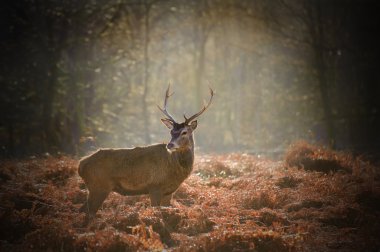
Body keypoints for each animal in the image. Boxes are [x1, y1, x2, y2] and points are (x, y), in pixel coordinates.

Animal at [78, 84, 212, 220]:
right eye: (171, 132)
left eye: (184, 132)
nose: (170, 144)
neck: (175, 169)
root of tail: (81, 164)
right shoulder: (154, 187)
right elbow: (156, 211)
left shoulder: (169, 191)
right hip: (99, 186)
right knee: (88, 212)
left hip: (95, 187)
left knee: (82, 209)